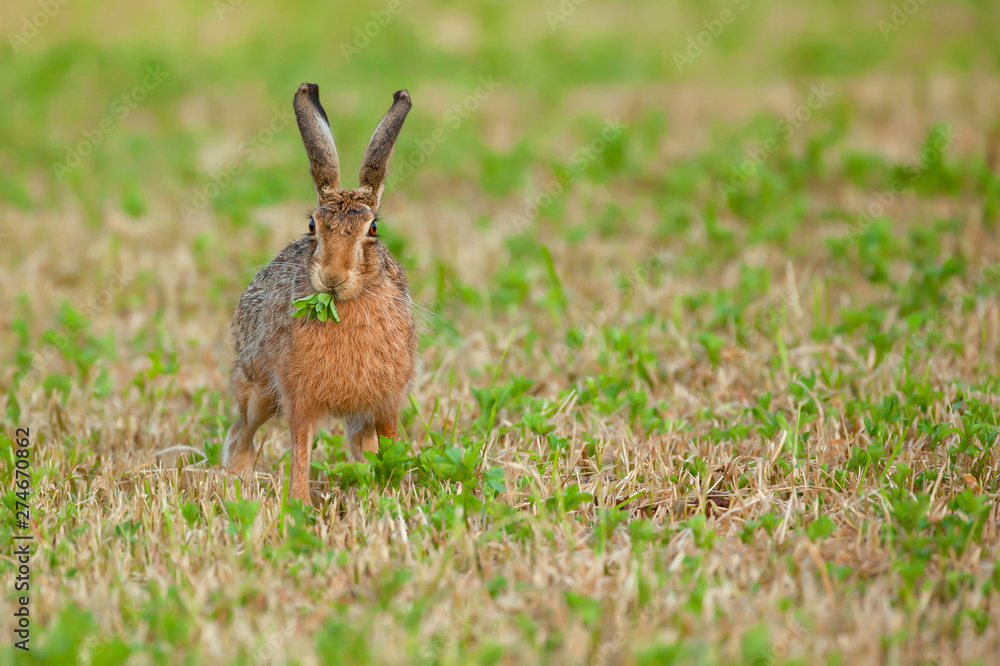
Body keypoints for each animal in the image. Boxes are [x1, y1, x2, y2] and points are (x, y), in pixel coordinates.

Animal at [222, 83, 417, 503]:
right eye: (313, 226)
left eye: (373, 229)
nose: (332, 276)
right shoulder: (299, 399)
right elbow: (300, 450)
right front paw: (298, 503)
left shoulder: (387, 401)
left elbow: (390, 444)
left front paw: (394, 492)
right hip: (258, 388)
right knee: (241, 429)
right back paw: (236, 481)